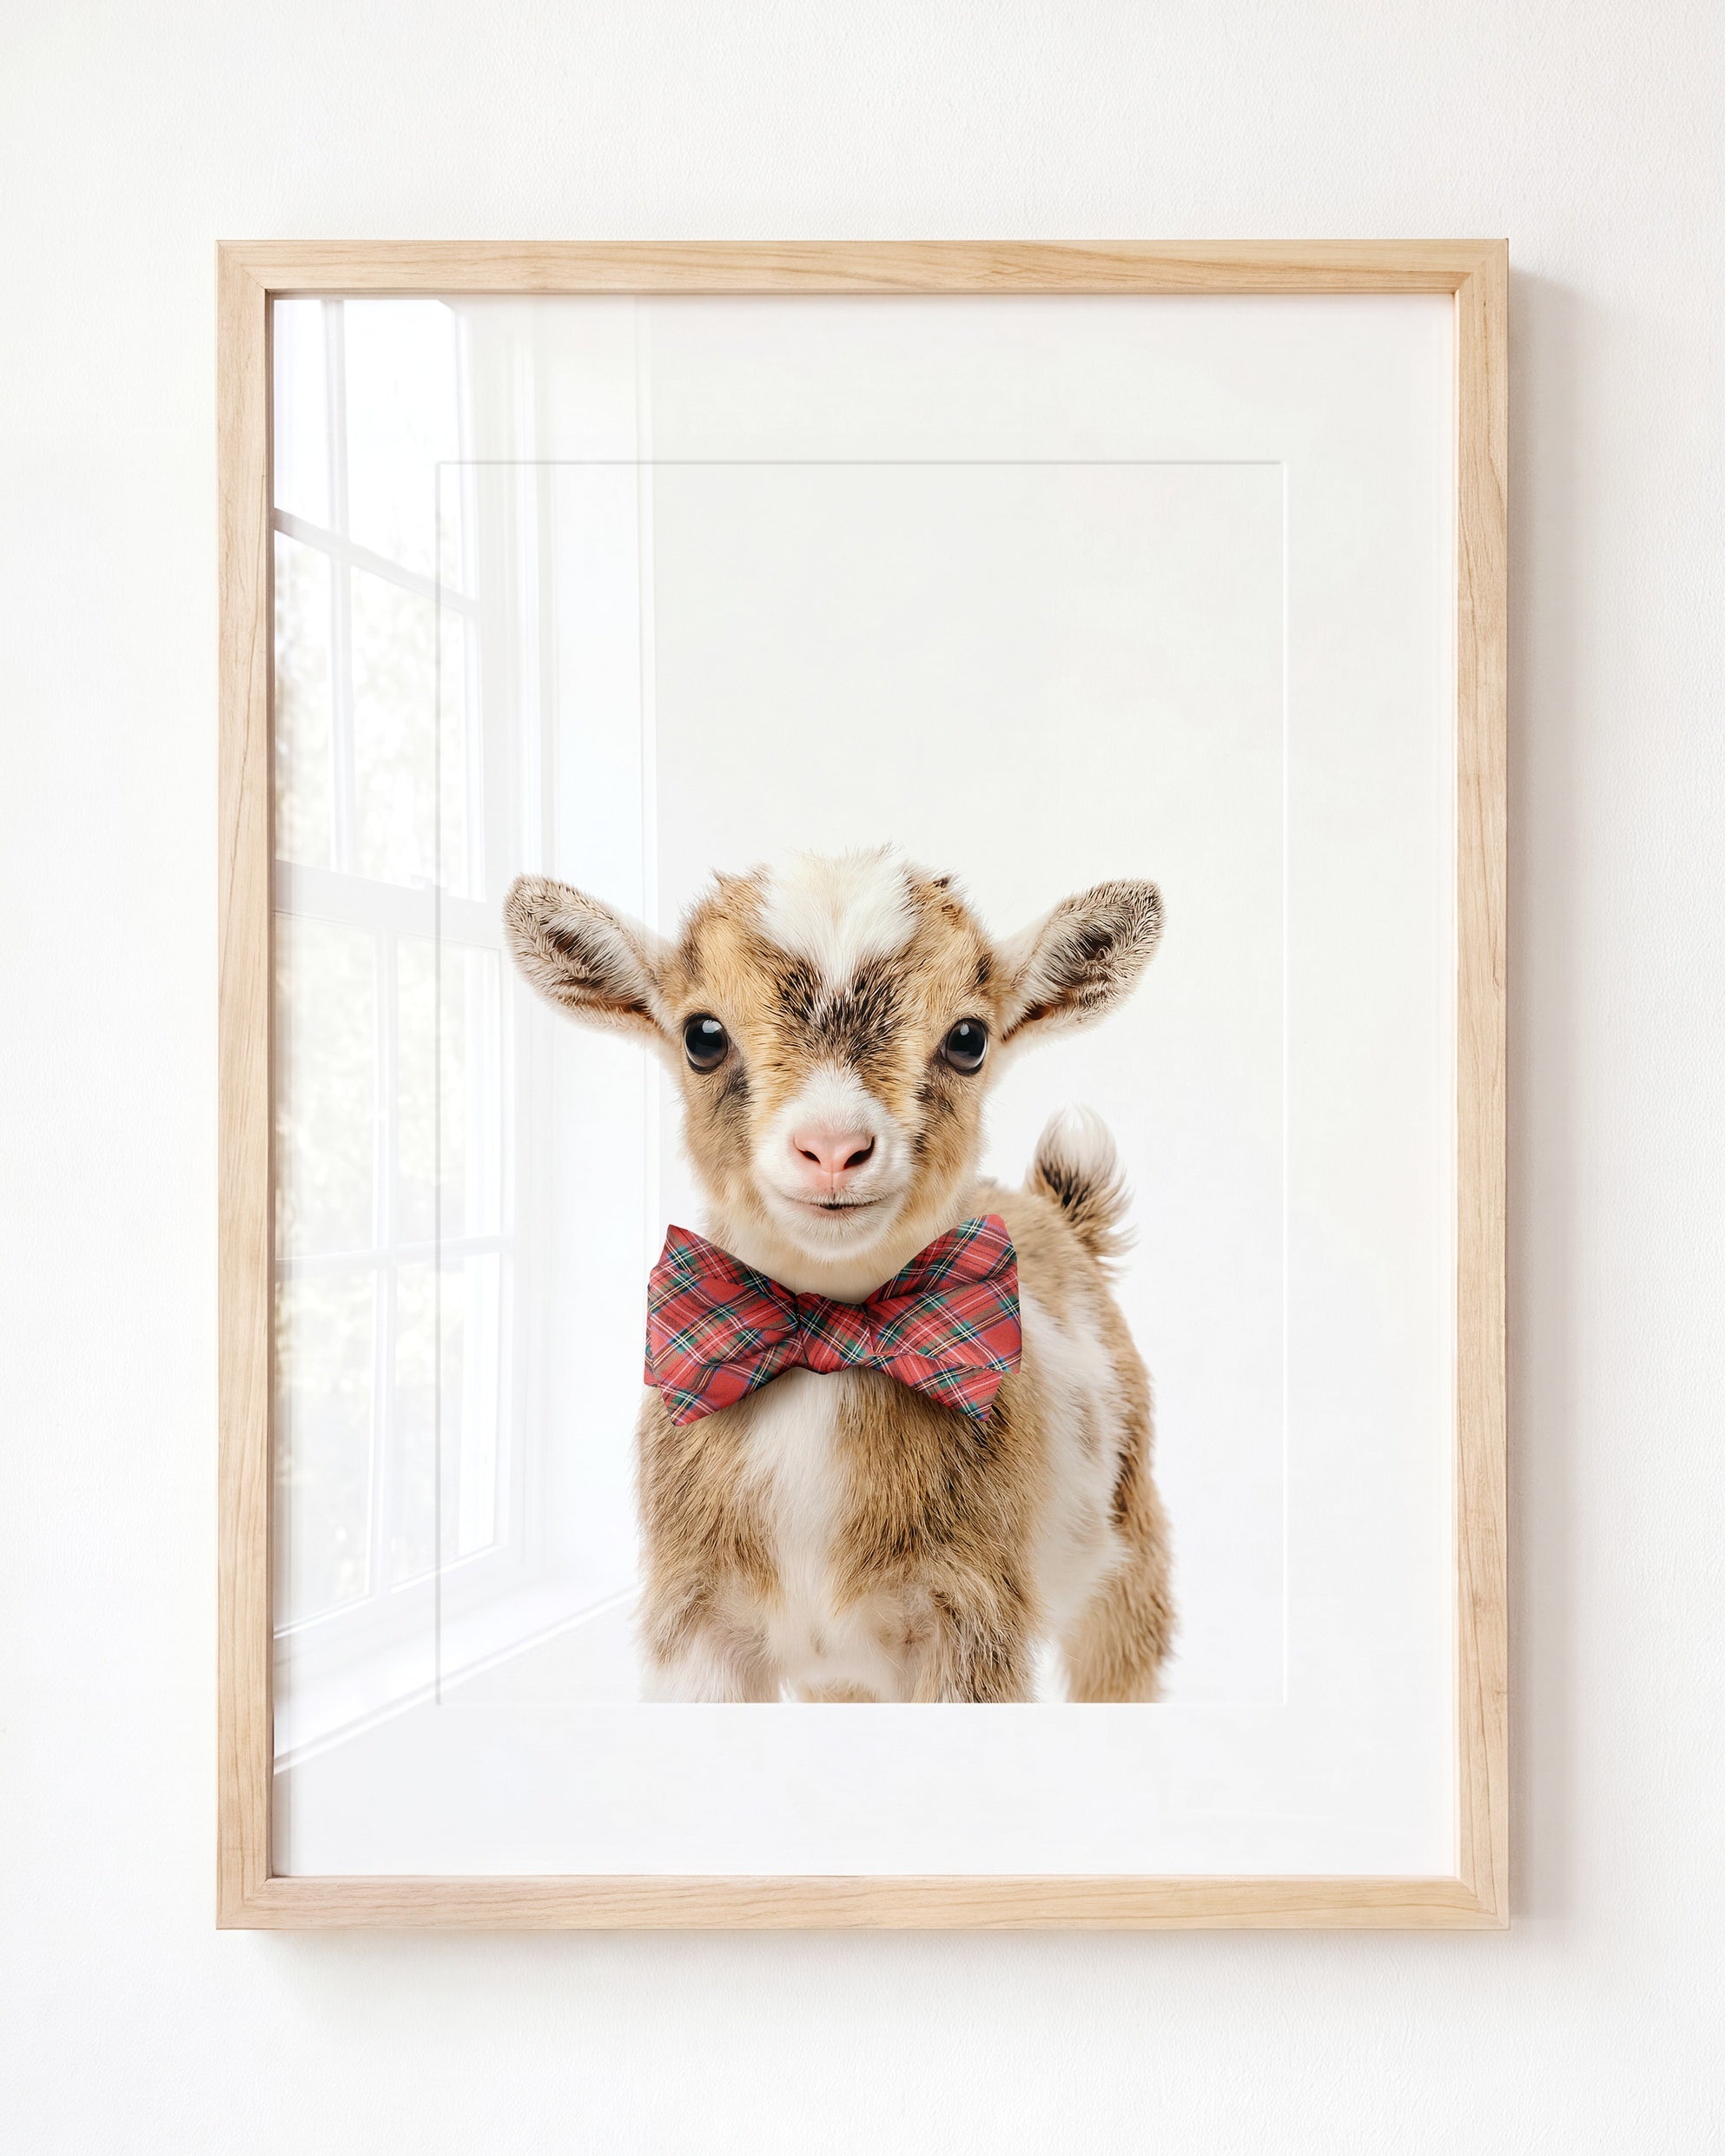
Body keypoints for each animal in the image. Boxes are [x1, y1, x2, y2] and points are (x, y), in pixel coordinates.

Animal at [504, 847, 1174, 1702]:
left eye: (968, 1039)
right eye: (702, 1035)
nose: (831, 1148)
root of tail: (1059, 1213)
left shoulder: (974, 1617)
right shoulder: (695, 1620)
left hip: (1131, 1546)